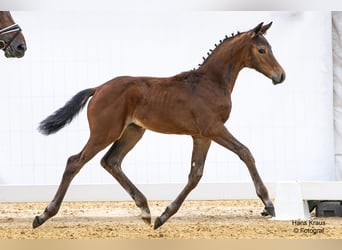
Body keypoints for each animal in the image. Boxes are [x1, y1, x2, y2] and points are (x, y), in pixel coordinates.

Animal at [33, 22, 286, 229]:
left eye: (270, 47)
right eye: (261, 50)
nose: (280, 76)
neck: (211, 82)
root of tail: (99, 88)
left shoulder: (201, 136)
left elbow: (195, 175)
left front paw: (163, 216)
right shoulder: (213, 128)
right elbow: (245, 152)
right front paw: (268, 205)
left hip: (133, 132)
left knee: (111, 161)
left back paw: (145, 210)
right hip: (105, 133)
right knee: (75, 162)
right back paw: (44, 215)